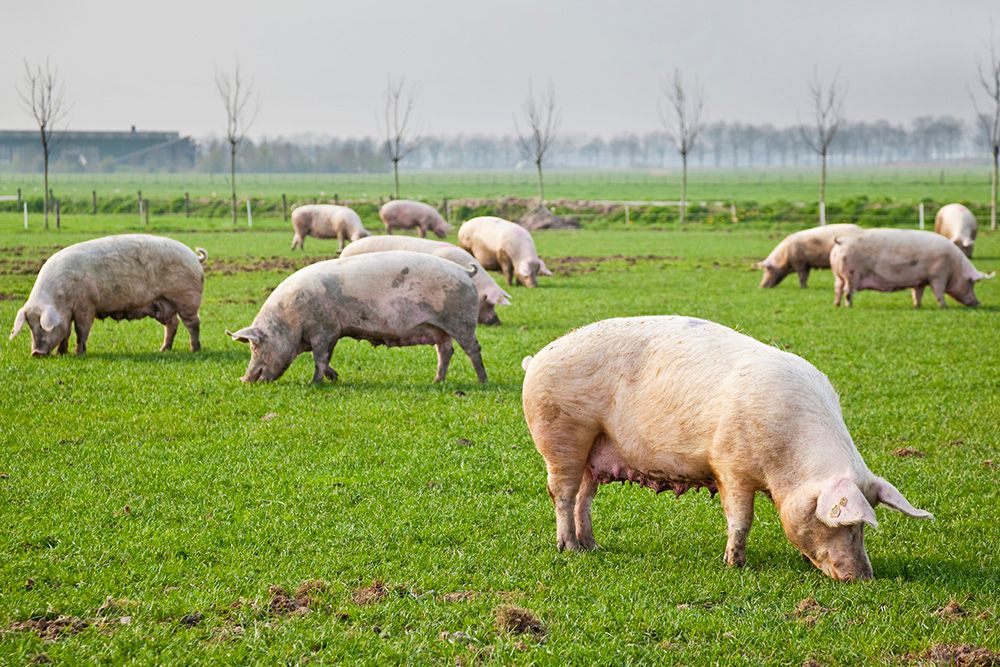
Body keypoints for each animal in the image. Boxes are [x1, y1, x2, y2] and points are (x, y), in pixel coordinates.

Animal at [9, 234, 206, 356]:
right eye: (30, 326)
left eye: (42, 325)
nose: (36, 353)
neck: (60, 297)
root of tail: (195, 257)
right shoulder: (68, 313)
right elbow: (66, 331)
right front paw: (62, 353)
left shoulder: (86, 306)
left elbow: (81, 330)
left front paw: (79, 353)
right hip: (161, 305)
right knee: (173, 324)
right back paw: (163, 349)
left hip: (186, 299)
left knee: (192, 323)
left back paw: (194, 349)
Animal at [227, 251, 487, 384]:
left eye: (255, 347)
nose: (244, 379)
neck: (291, 319)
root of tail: (465, 272)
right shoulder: (332, 332)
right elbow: (326, 357)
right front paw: (335, 378)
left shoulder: (323, 329)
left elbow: (319, 357)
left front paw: (315, 383)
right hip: (440, 328)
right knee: (445, 351)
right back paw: (437, 381)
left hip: (461, 321)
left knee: (472, 349)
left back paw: (482, 381)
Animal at [521, 316, 933, 581]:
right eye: (846, 524)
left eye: (862, 528)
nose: (863, 578)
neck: (786, 464)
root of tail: (535, 358)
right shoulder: (730, 466)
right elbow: (740, 519)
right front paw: (735, 565)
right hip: (562, 434)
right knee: (562, 492)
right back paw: (569, 548)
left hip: (595, 449)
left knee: (584, 496)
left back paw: (592, 546)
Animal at [829, 228, 994, 308]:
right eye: (972, 283)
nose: (978, 303)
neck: (955, 267)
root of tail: (841, 241)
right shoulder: (938, 275)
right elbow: (939, 291)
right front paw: (944, 306)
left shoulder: (920, 280)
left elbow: (917, 293)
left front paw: (917, 306)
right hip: (851, 274)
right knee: (847, 291)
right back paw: (849, 305)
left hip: (838, 275)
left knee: (837, 288)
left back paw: (836, 305)